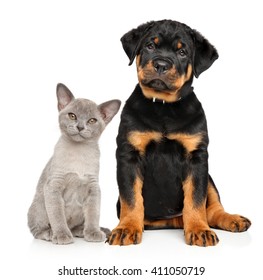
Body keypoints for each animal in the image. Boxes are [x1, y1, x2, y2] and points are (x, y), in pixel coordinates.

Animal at [27, 83, 121, 245]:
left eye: (92, 121)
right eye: (72, 116)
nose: (80, 127)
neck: (79, 153)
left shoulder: (93, 188)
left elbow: (93, 215)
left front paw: (93, 233)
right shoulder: (54, 186)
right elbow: (58, 216)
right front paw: (62, 235)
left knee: (78, 225)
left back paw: (87, 231)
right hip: (39, 205)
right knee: (37, 230)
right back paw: (51, 233)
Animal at [108, 19, 253, 246]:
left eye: (182, 52)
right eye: (150, 46)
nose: (161, 65)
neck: (163, 107)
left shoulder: (197, 158)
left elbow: (195, 199)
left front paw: (199, 230)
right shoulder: (129, 154)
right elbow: (131, 198)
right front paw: (127, 228)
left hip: (208, 177)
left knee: (211, 208)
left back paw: (230, 219)